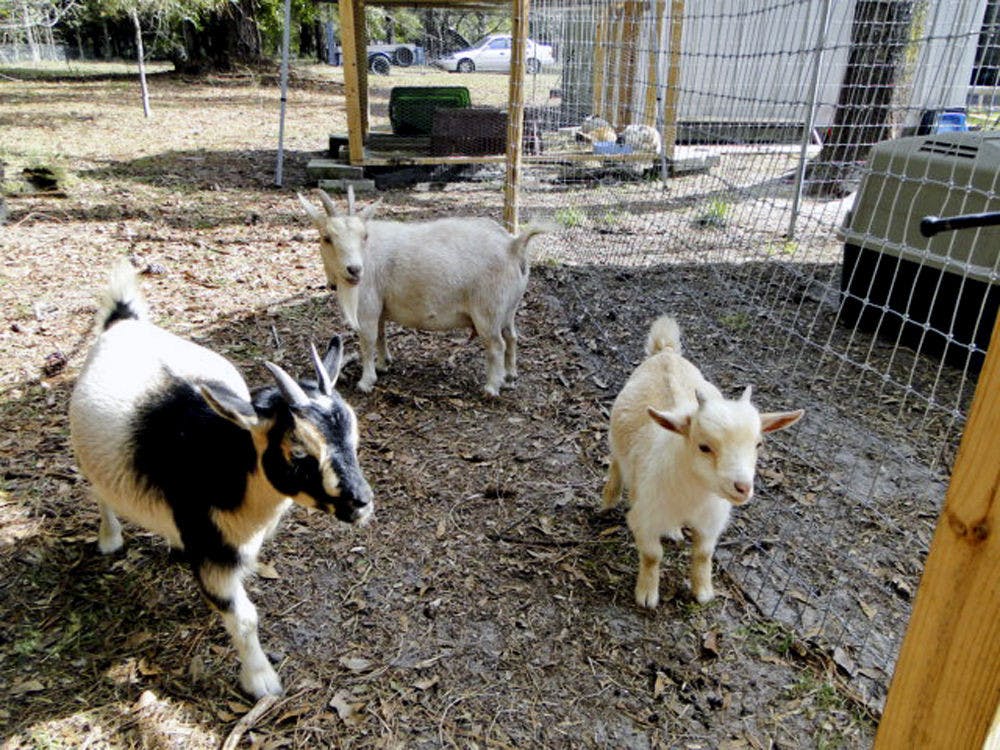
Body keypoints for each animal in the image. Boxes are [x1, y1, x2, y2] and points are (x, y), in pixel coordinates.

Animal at [69, 261, 374, 698]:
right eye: (298, 451)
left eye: (353, 434)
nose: (361, 501)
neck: (224, 467)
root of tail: (123, 321)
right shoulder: (214, 551)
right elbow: (244, 617)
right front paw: (262, 682)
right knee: (100, 493)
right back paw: (109, 539)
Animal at [298, 189, 547, 396]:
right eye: (326, 238)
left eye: (364, 236)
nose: (355, 270)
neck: (366, 254)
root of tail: (513, 245)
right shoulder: (379, 306)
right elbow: (380, 335)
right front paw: (383, 364)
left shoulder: (367, 306)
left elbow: (367, 341)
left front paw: (366, 381)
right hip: (509, 307)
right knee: (512, 337)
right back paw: (510, 376)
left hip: (488, 310)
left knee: (497, 344)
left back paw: (492, 388)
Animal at [601, 315, 803, 608]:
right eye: (704, 446)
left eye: (758, 444)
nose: (742, 487)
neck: (694, 492)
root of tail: (666, 352)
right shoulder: (645, 517)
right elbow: (652, 555)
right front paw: (647, 594)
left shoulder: (711, 521)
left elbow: (704, 554)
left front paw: (704, 591)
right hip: (616, 442)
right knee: (617, 463)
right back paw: (608, 500)